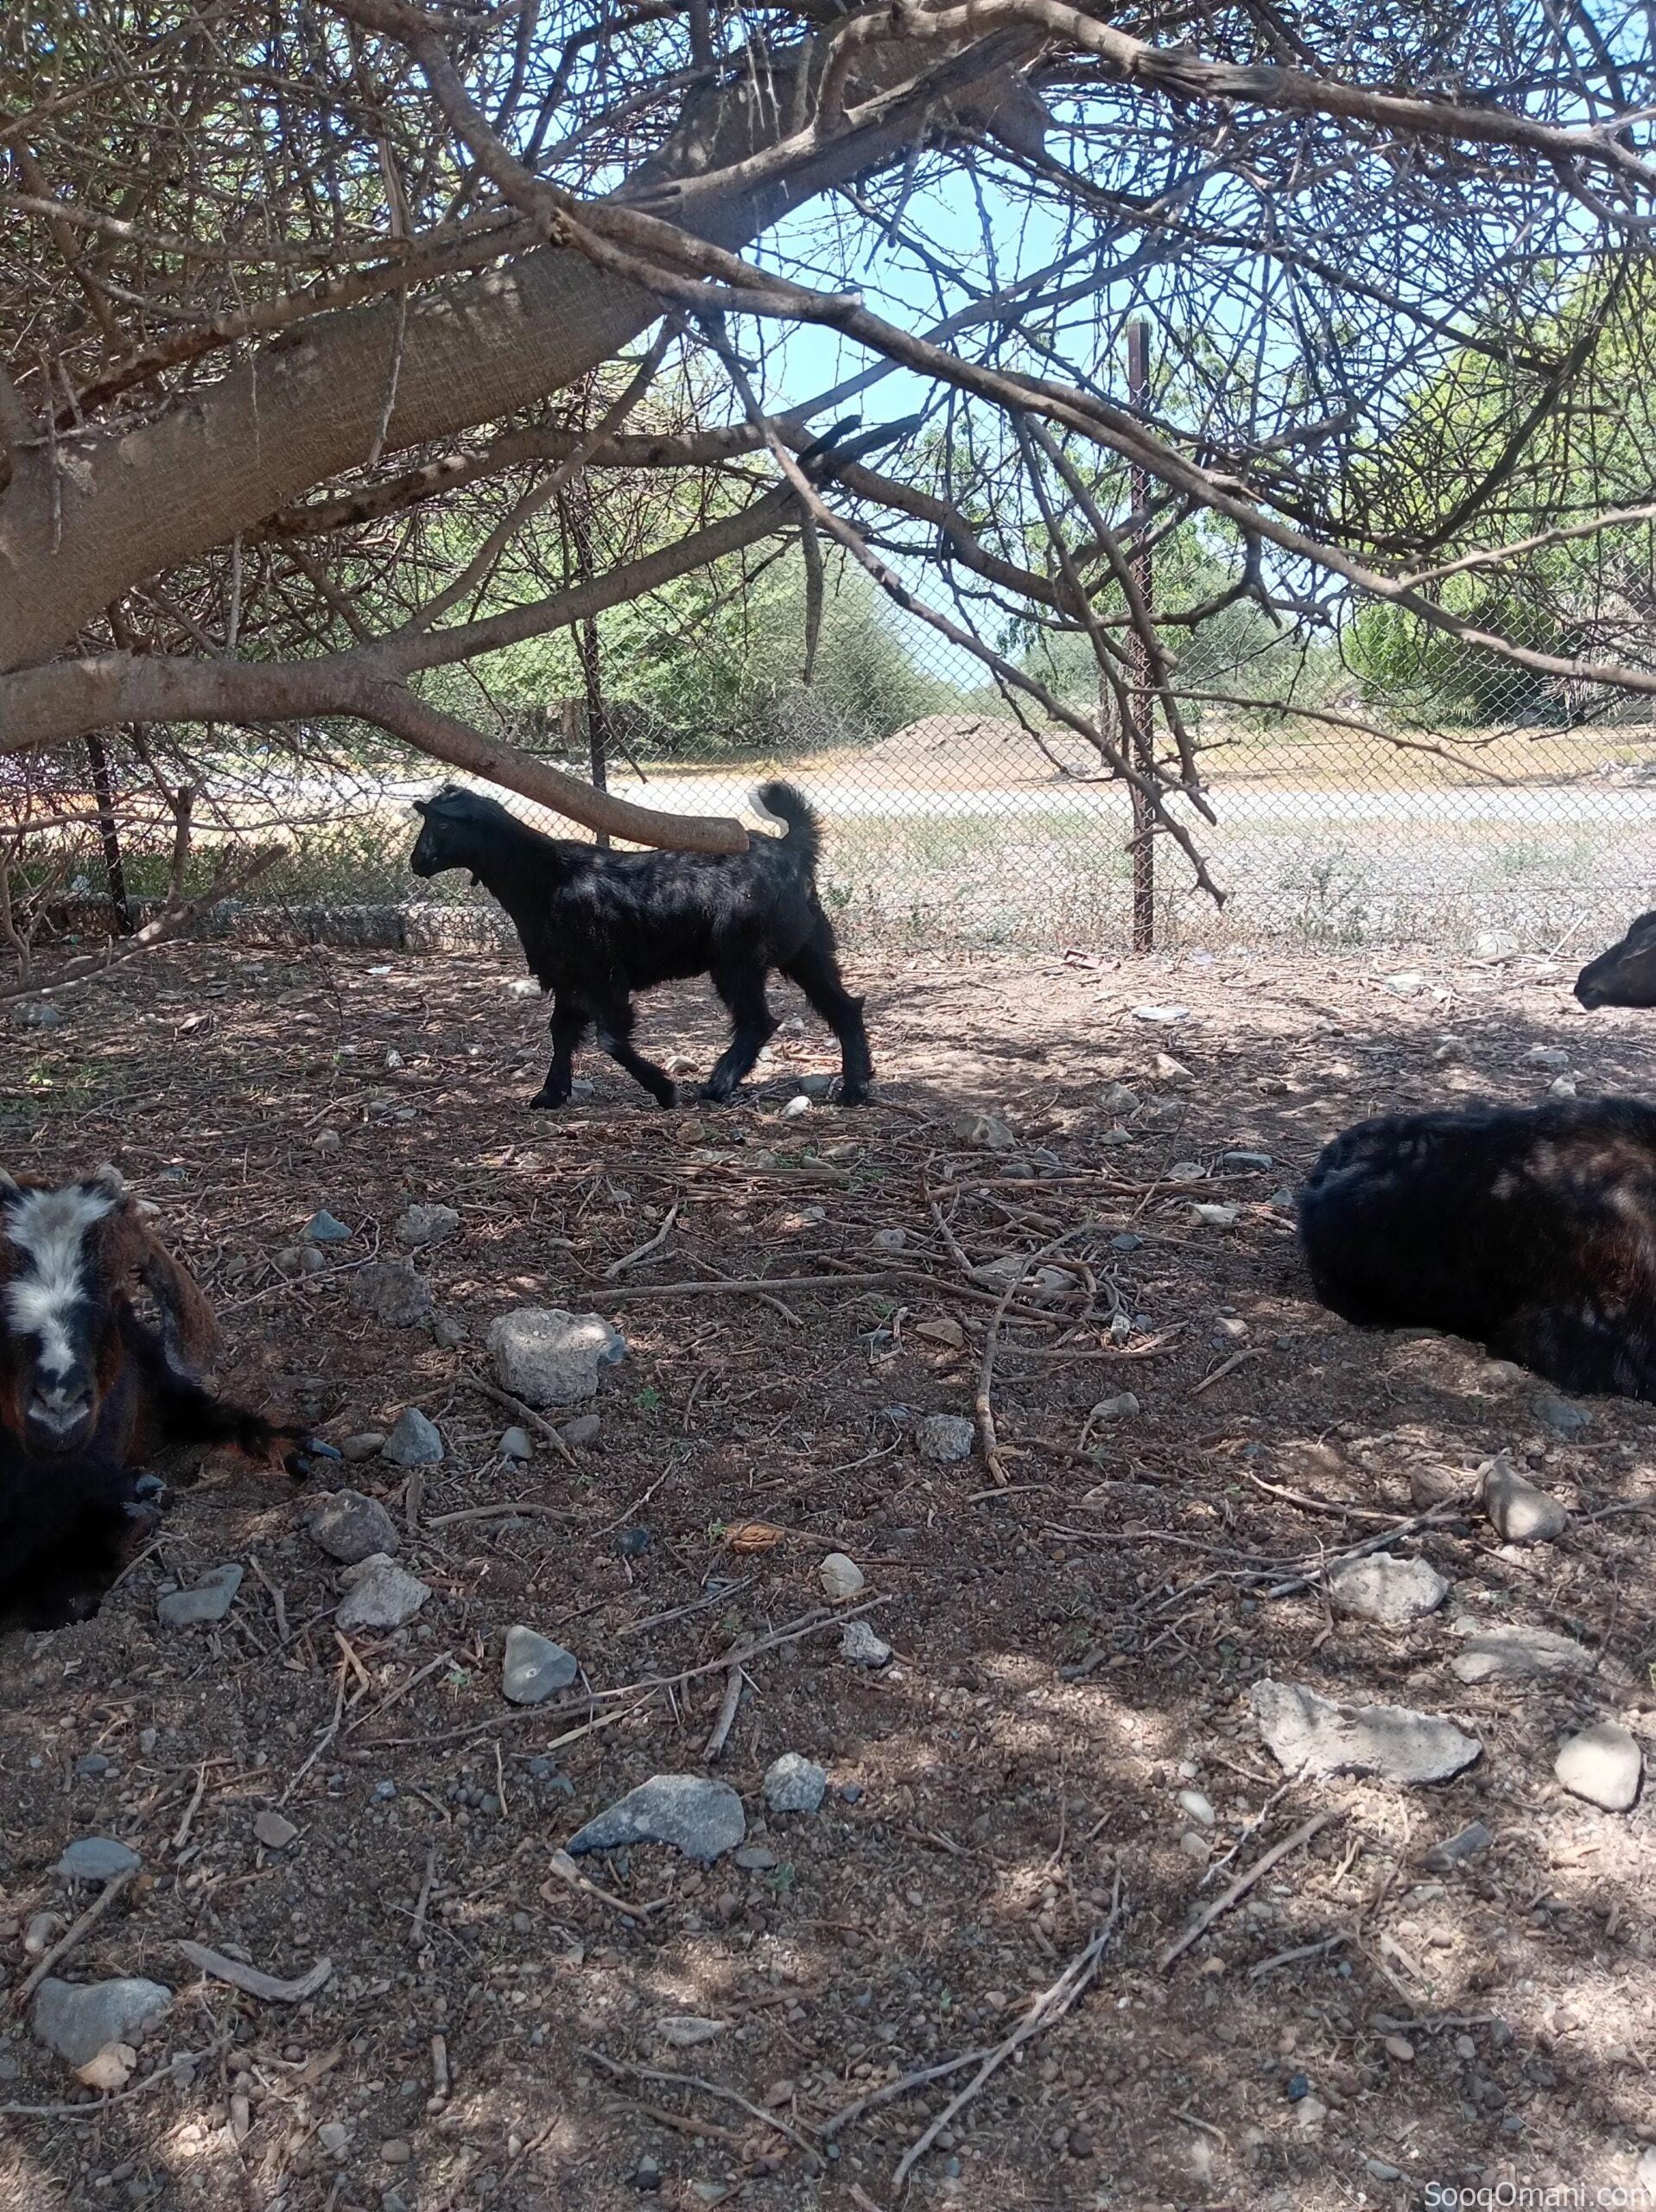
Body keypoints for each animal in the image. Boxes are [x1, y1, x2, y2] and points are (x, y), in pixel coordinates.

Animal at [409, 780, 873, 1110]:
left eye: (442, 824)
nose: (416, 863)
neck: (546, 879)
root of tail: (791, 851)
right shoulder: (568, 978)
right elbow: (561, 1033)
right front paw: (550, 1094)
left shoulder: (605, 977)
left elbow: (609, 1040)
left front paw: (665, 1091)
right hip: (807, 949)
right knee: (843, 1007)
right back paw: (855, 1087)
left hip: (738, 958)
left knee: (758, 1021)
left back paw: (718, 1084)